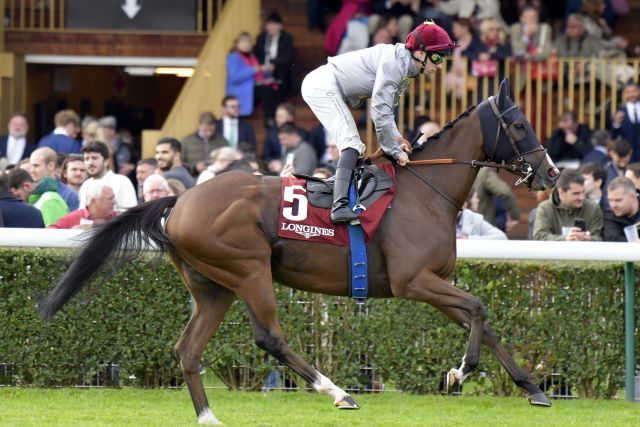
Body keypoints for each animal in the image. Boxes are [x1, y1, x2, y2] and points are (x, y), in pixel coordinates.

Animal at [41, 80, 560, 424]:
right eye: (518, 124)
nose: (552, 173)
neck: (424, 191)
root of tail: (179, 201)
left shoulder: (434, 282)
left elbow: (483, 321)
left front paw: (533, 388)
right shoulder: (414, 282)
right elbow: (479, 308)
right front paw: (460, 372)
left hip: (213, 287)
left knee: (188, 349)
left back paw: (209, 417)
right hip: (248, 269)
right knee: (269, 337)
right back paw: (338, 392)